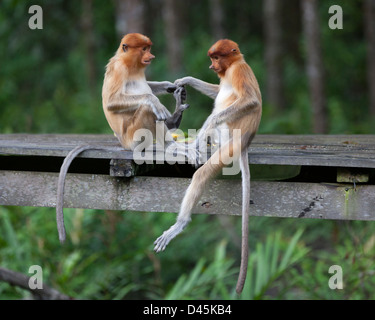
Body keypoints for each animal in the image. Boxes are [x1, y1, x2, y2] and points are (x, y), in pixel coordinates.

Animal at [57, 33, 194, 242]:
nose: (151, 56)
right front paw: (157, 101)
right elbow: (113, 101)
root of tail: (123, 143)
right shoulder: (119, 69)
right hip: (134, 136)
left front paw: (171, 86)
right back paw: (172, 141)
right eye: (144, 49)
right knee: (146, 109)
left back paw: (174, 118)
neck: (130, 63)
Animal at [154, 38, 262, 294]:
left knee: (202, 173)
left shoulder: (239, 72)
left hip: (229, 144)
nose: (213, 67)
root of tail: (244, 143)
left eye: (217, 57)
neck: (233, 64)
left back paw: (179, 224)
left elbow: (250, 100)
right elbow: (216, 89)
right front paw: (184, 81)